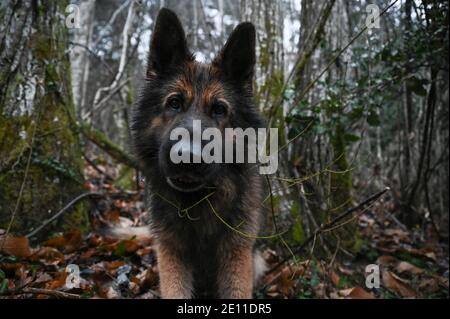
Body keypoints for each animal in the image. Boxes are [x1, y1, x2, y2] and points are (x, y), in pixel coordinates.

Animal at [128, 8, 266, 300]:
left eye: (219, 110)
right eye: (174, 103)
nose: (188, 157)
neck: (198, 202)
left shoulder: (237, 252)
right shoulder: (170, 251)